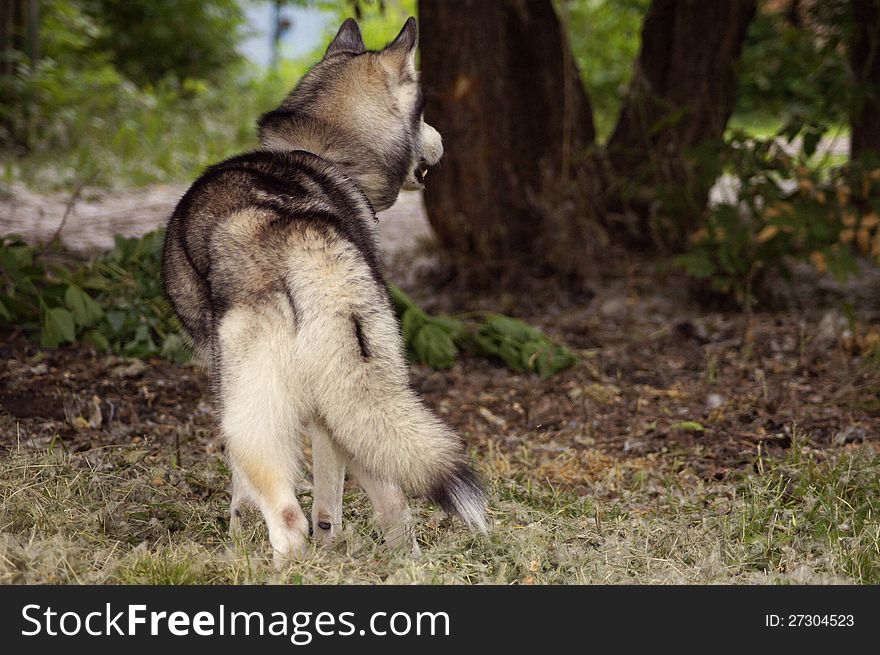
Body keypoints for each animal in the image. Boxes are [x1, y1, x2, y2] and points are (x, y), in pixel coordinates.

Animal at [163, 18, 488, 568]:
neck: (326, 154)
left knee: (288, 514)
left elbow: (246, 496)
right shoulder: (322, 410)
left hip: (253, 418)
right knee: (391, 503)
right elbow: (325, 503)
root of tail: (308, 242)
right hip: (360, 397)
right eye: (424, 114)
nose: (442, 141)